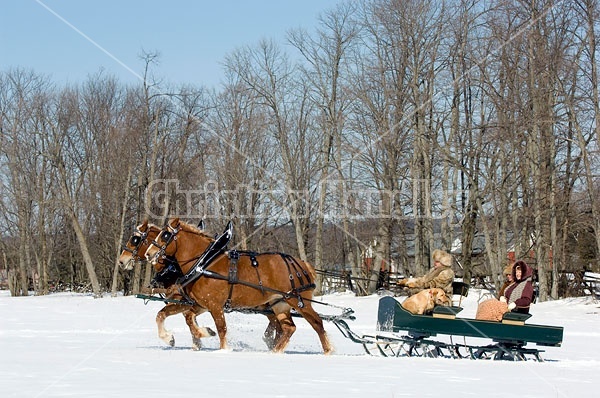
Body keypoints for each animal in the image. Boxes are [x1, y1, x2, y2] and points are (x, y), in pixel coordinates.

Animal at [145, 218, 332, 354]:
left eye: (165, 235)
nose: (149, 254)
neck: (204, 263)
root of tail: (302, 264)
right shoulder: (201, 304)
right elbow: (180, 317)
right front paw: (199, 333)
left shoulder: (215, 306)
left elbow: (221, 329)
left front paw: (223, 350)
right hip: (280, 304)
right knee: (288, 328)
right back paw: (275, 352)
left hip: (299, 301)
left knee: (317, 323)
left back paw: (328, 351)